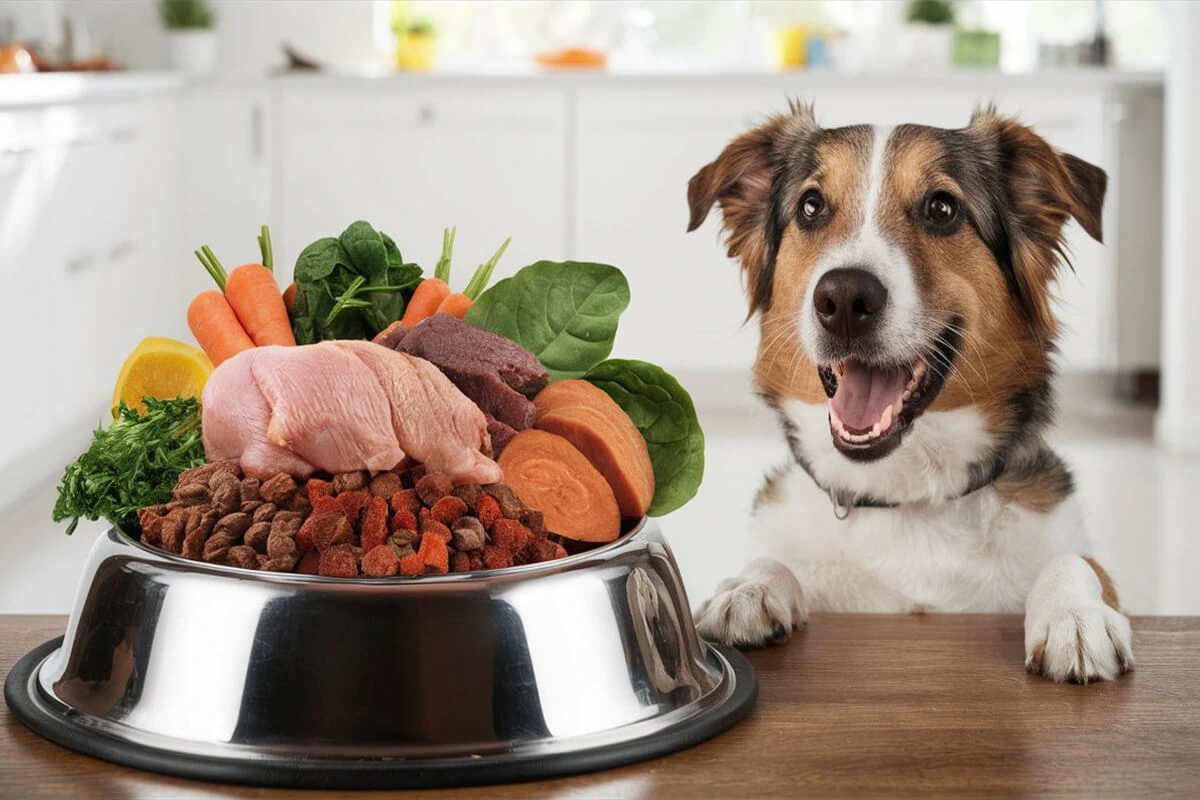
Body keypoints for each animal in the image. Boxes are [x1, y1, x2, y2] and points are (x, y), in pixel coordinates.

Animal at [686, 103, 1132, 686]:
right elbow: (773, 561)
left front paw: (1074, 616)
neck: (905, 497)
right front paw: (747, 587)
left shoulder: (1068, 543)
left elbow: (1076, 563)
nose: (843, 298)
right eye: (810, 207)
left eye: (942, 208)